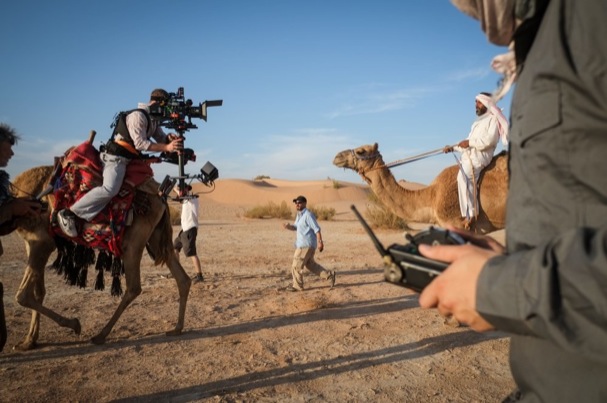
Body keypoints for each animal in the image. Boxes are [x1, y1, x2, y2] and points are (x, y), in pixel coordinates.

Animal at [4, 151, 190, 350]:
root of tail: (160, 196)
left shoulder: (42, 241)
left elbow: (23, 295)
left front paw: (74, 324)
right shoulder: (32, 243)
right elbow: (38, 293)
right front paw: (29, 341)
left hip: (133, 242)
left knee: (134, 287)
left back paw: (101, 335)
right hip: (156, 237)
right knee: (182, 278)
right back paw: (177, 328)